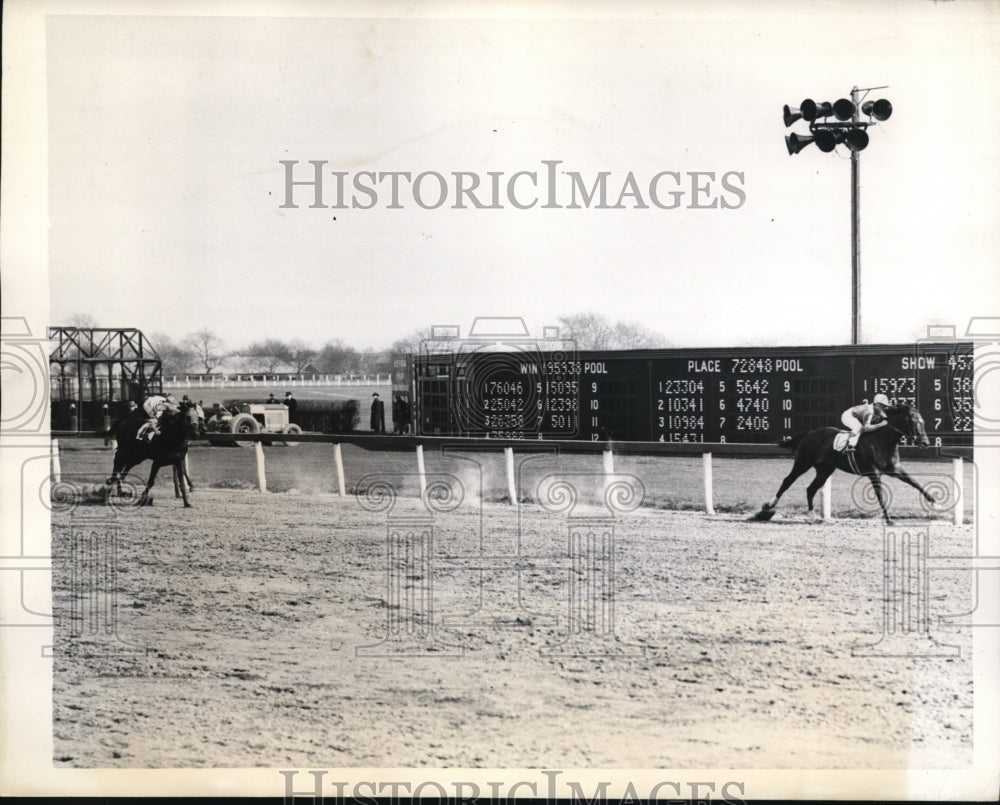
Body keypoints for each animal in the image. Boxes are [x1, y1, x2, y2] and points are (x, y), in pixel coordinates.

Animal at [756, 406, 936, 524]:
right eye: (915, 421)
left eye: (923, 421)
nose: (926, 443)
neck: (882, 440)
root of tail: (809, 433)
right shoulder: (874, 473)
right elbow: (881, 496)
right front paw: (889, 519)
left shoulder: (895, 469)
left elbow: (915, 482)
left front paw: (933, 500)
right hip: (803, 462)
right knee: (787, 481)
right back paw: (769, 506)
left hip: (825, 469)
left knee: (810, 489)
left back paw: (812, 516)